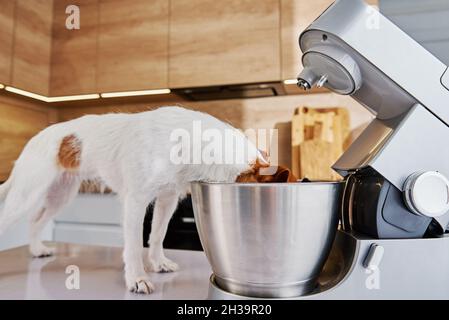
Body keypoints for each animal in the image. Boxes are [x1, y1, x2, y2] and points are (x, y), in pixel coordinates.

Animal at [0, 106, 294, 294]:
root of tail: (35, 138)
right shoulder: (135, 201)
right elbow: (133, 245)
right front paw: (137, 278)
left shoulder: (167, 199)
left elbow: (157, 234)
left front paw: (157, 262)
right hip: (27, 192)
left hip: (61, 194)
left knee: (36, 221)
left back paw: (37, 249)